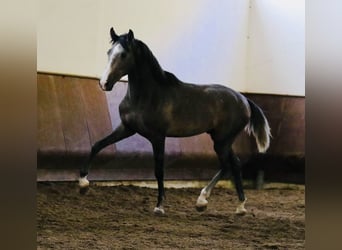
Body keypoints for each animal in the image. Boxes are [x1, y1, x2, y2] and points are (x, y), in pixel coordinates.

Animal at [79, 27, 272, 215]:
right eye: (109, 52)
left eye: (124, 54)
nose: (104, 83)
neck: (147, 96)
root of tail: (244, 99)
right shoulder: (126, 128)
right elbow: (97, 145)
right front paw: (83, 184)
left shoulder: (158, 137)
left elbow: (159, 170)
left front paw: (159, 206)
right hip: (221, 139)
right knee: (235, 164)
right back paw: (240, 207)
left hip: (222, 141)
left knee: (227, 166)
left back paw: (202, 201)